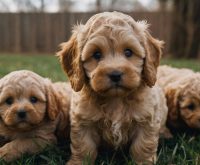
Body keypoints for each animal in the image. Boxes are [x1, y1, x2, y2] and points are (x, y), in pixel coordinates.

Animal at [57, 10, 169, 164]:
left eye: (128, 52)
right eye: (96, 54)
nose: (115, 74)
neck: (115, 100)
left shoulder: (147, 121)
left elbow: (142, 146)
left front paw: (143, 162)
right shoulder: (83, 122)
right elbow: (84, 147)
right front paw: (78, 162)